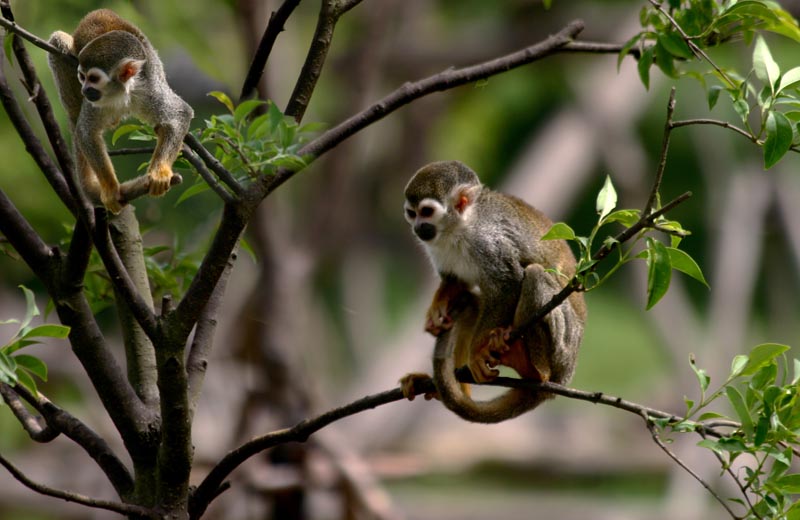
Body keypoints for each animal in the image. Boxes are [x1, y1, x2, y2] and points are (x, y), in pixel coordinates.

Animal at [48, 9, 195, 214]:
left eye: (93, 79)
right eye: (82, 77)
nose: (84, 90)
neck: (124, 90)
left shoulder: (150, 90)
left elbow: (180, 113)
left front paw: (160, 172)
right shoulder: (95, 103)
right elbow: (85, 131)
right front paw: (110, 189)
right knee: (57, 41)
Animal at [404, 159, 584, 422]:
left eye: (426, 211)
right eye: (412, 213)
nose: (418, 227)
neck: (461, 227)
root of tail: (565, 377)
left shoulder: (487, 242)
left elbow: (508, 283)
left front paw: (477, 352)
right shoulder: (437, 245)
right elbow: (457, 282)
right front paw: (437, 309)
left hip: (564, 345)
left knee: (535, 276)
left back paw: (534, 371)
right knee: (472, 304)